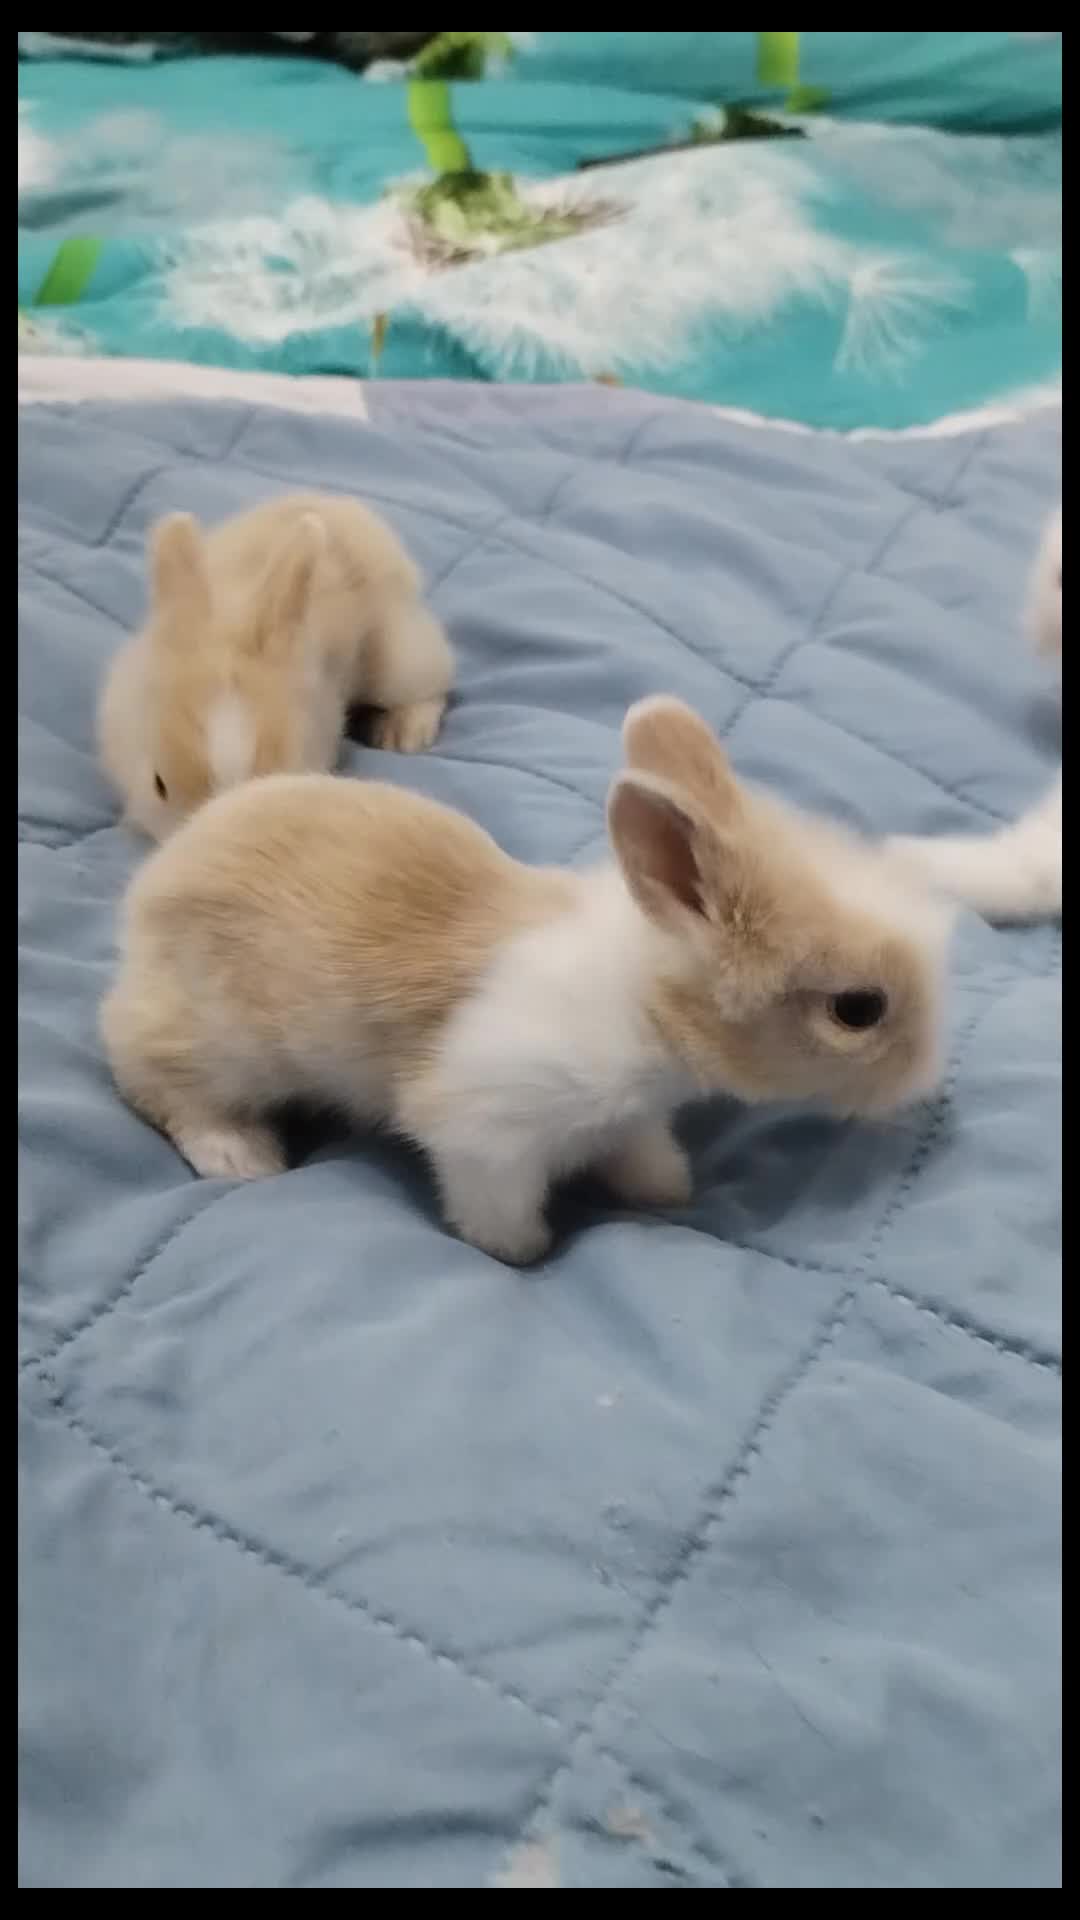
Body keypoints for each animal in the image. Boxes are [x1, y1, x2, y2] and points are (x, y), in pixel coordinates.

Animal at [100, 695, 952, 1266]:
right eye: (858, 1009)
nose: (927, 1080)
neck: (647, 1009)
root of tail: (162, 871)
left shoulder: (628, 1119)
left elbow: (642, 1153)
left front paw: (666, 1191)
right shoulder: (488, 1134)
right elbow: (495, 1208)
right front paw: (525, 1254)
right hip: (217, 1044)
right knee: (151, 1073)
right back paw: (242, 1155)